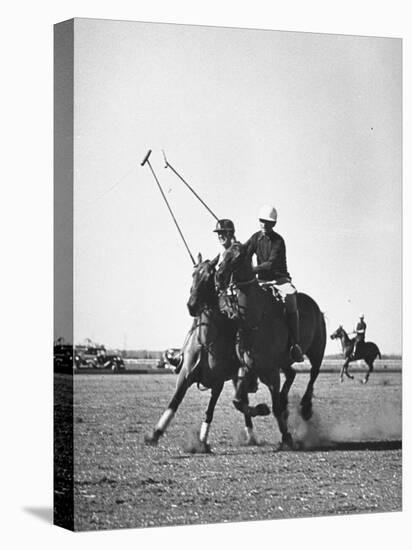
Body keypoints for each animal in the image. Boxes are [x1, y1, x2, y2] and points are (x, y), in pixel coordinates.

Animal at [145, 254, 268, 452]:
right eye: (193, 274)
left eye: (210, 276)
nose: (192, 305)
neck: (206, 341)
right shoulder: (184, 377)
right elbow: (174, 402)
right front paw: (155, 433)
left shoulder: (218, 382)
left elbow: (209, 411)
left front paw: (202, 442)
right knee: (242, 402)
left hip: (240, 374)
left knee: (243, 402)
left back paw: (253, 432)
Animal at [214, 242, 326, 448]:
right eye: (223, 254)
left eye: (239, 256)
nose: (219, 277)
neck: (254, 319)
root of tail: (315, 307)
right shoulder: (248, 367)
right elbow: (238, 401)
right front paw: (262, 409)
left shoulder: (272, 372)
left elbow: (274, 407)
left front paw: (287, 437)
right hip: (285, 361)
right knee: (292, 374)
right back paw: (286, 401)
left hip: (317, 350)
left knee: (313, 373)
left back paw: (305, 408)